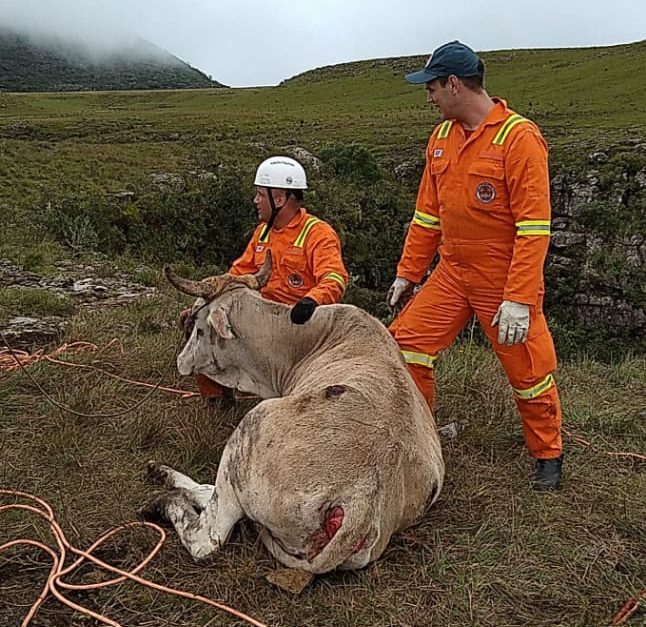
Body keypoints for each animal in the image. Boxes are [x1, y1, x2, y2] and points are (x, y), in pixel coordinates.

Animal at [142, 253, 446, 576]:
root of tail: (362, 502)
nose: (181, 360)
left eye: (197, 323)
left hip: (250, 429)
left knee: (208, 534)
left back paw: (164, 497)